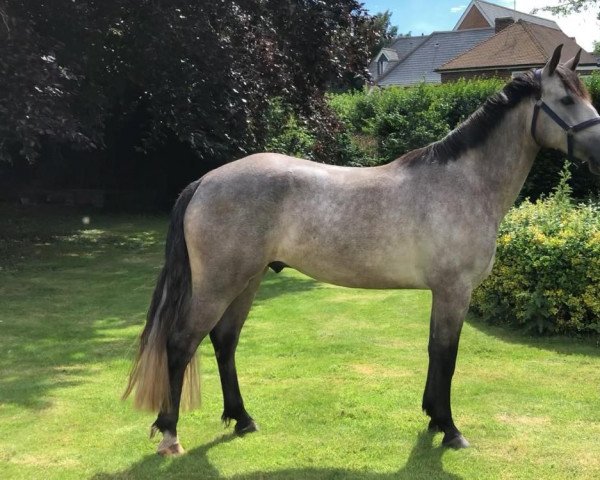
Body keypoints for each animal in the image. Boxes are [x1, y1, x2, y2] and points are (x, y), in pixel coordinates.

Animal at [123, 46, 600, 458]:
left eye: (586, 95)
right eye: (565, 99)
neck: (465, 183)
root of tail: (205, 181)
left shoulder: (443, 293)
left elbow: (435, 352)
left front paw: (433, 419)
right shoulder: (454, 291)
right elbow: (446, 356)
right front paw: (450, 429)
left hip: (247, 280)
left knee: (224, 341)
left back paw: (242, 419)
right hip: (218, 285)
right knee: (181, 344)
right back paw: (170, 435)